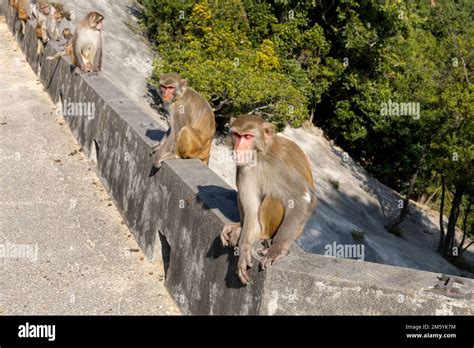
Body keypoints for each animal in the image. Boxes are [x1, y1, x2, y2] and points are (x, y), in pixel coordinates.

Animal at [220, 114, 316, 286]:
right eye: (237, 135)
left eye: (248, 136)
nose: (239, 148)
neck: (260, 156)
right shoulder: (245, 169)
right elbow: (252, 210)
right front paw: (244, 249)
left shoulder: (280, 166)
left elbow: (302, 199)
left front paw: (277, 248)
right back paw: (240, 227)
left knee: (275, 197)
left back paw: (263, 235)